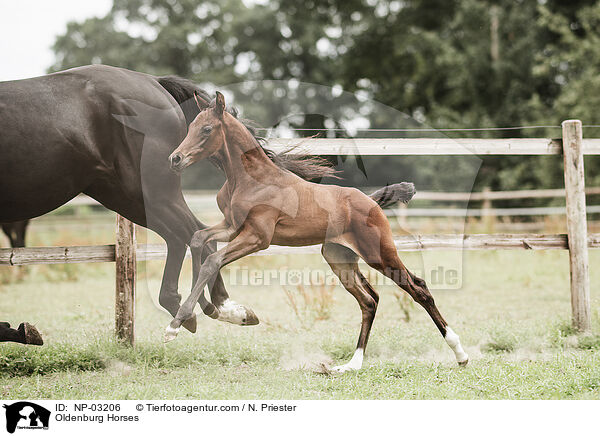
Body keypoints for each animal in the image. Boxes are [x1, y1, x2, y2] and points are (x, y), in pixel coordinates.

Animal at [0, 63, 328, 330]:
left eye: (206, 129)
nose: (177, 158)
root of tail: (153, 81)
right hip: (124, 194)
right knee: (186, 236)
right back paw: (203, 307)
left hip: (148, 192)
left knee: (192, 233)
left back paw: (217, 308)